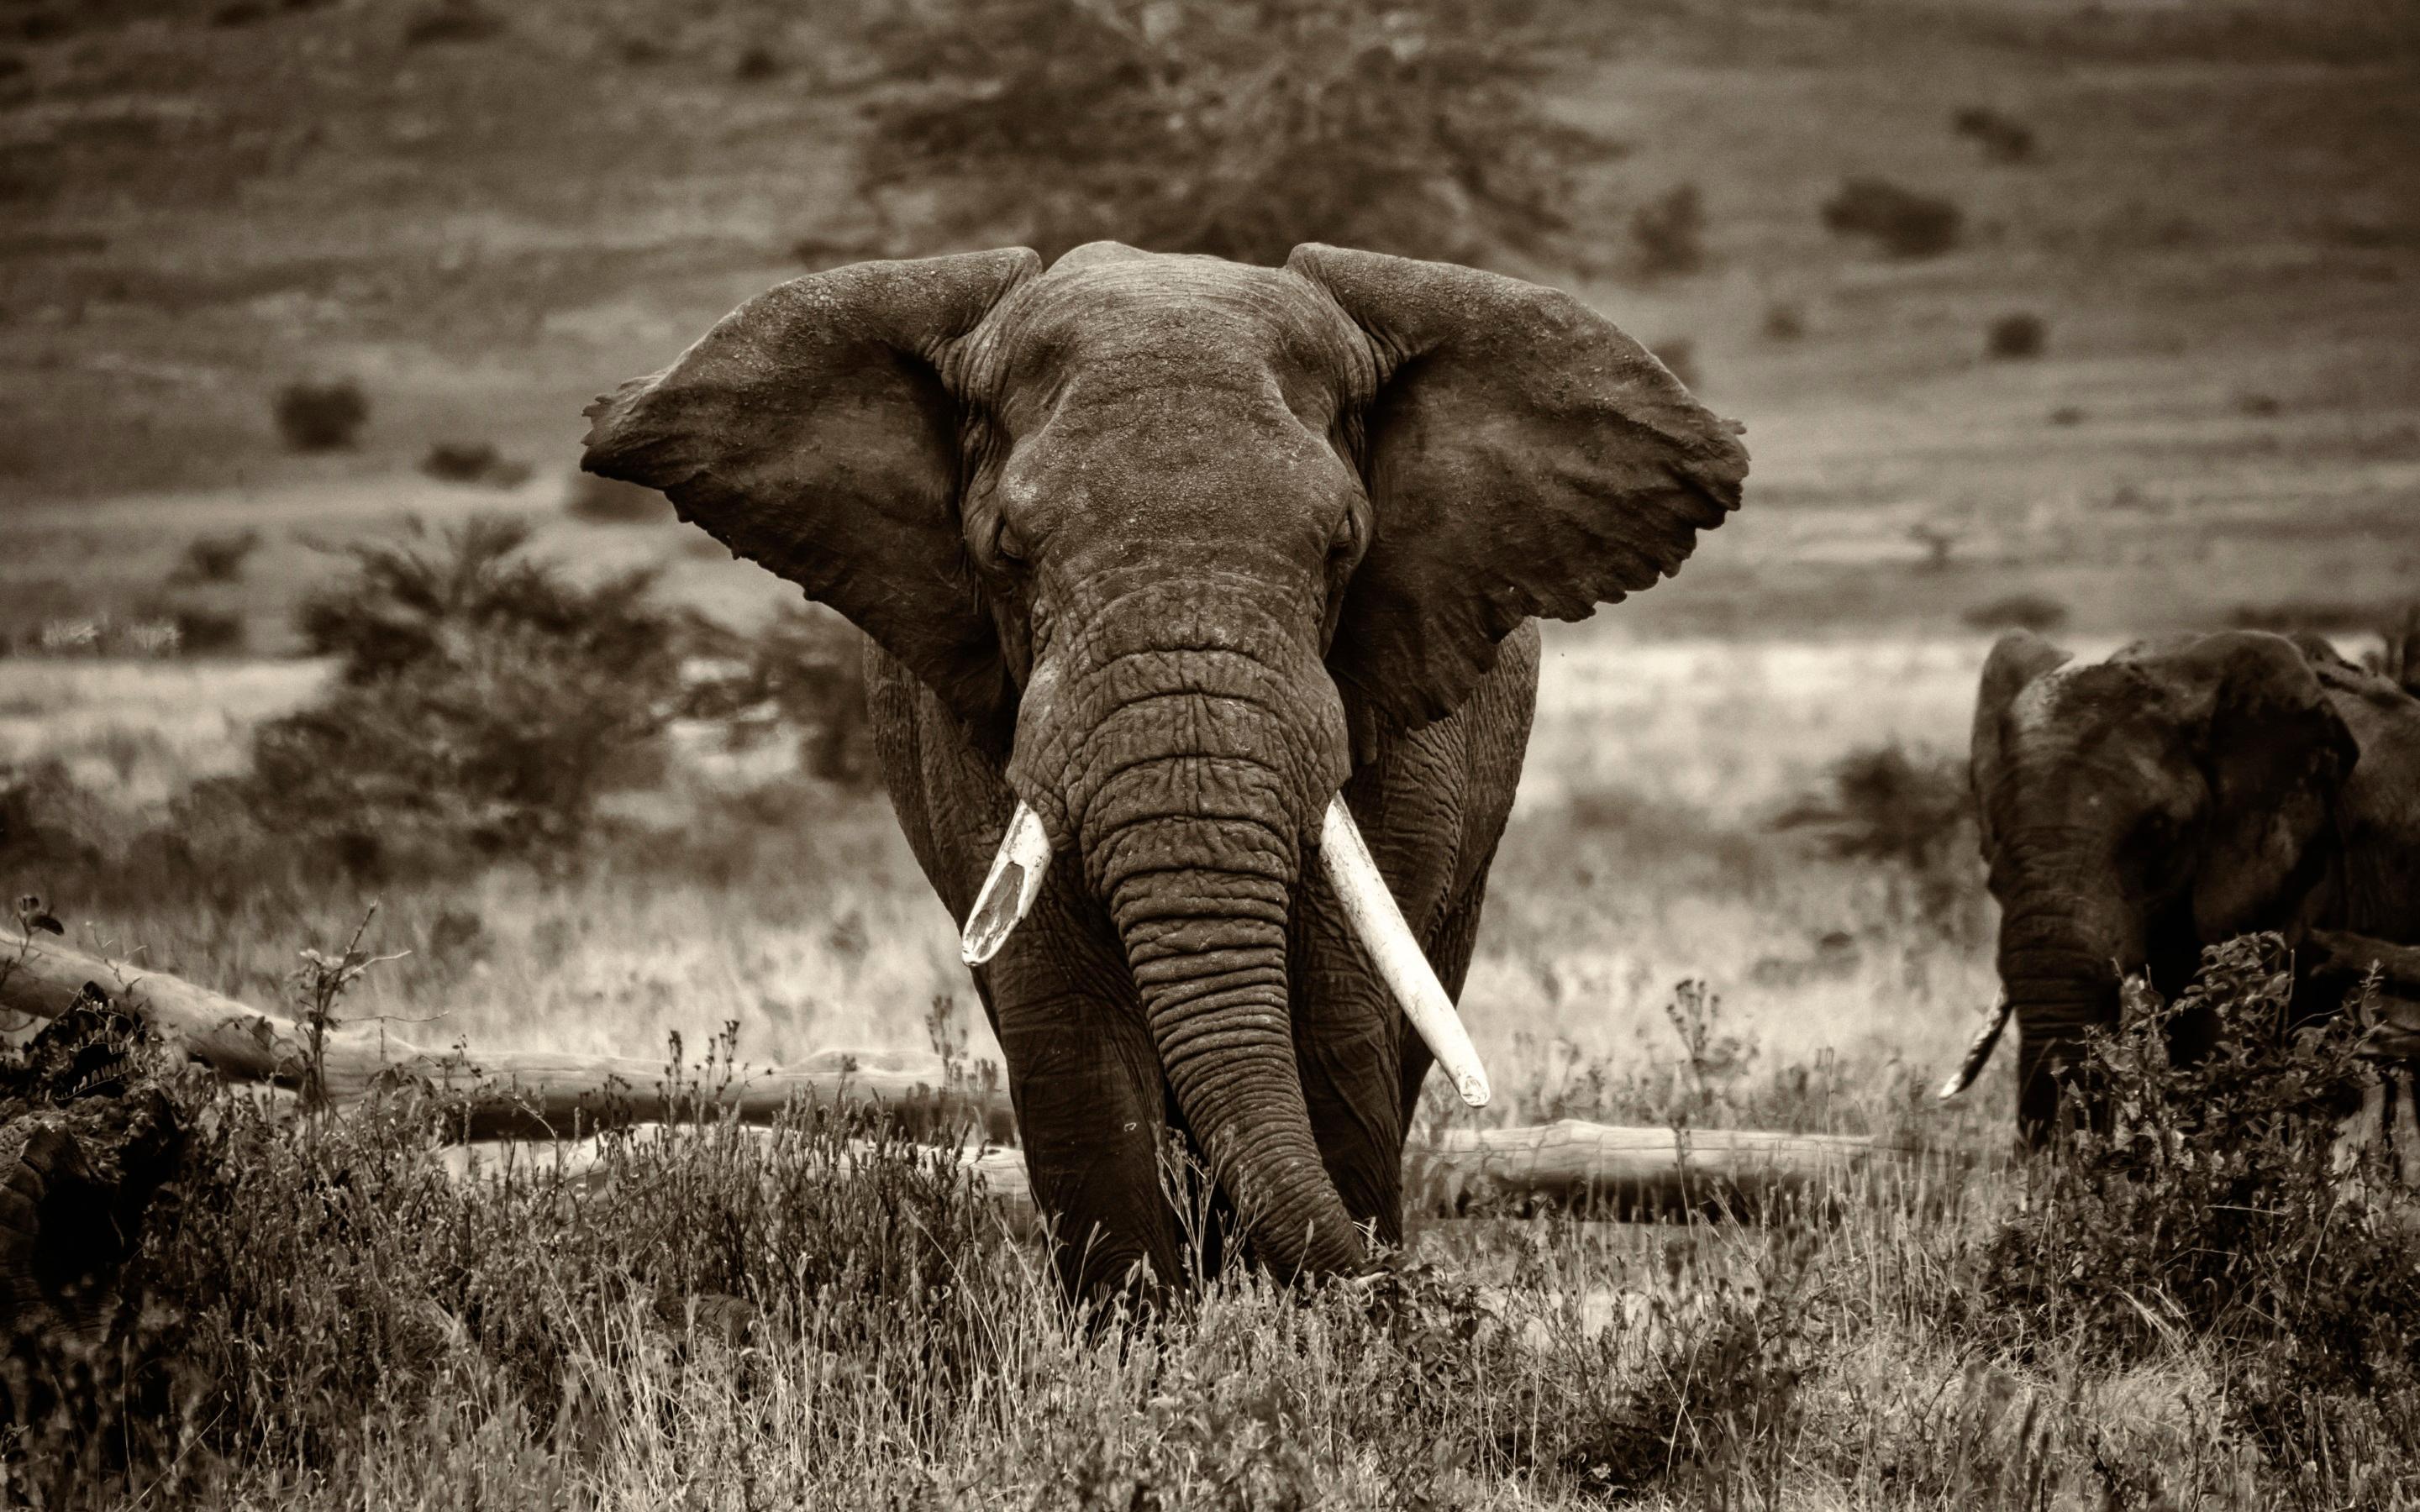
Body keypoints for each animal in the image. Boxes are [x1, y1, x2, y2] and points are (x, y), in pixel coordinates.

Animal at [580, 242, 1748, 1298]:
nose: (1428, 1294)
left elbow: (1333, 1015)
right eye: (1008, 551)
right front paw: (1142, 1355)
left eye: (1342, 546)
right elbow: (1071, 1035)